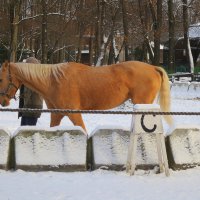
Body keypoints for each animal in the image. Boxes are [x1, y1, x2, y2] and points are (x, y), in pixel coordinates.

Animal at [0, 60, 172, 134]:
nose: (3, 101)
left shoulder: (74, 114)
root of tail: (153, 67)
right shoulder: (56, 115)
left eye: (1, 79)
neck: (53, 80)